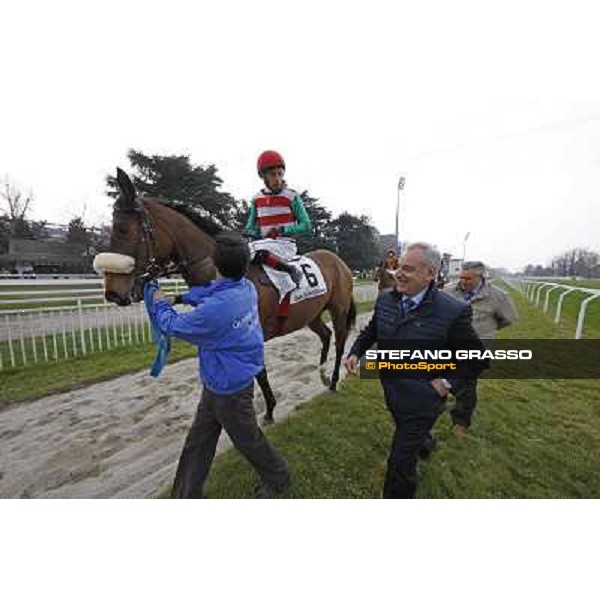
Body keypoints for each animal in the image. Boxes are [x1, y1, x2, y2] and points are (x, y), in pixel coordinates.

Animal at [95, 166, 356, 424]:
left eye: (123, 229)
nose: (113, 292)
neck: (225, 273)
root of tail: (339, 261)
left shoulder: (250, 335)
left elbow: (259, 373)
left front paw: (269, 410)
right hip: (311, 313)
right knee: (326, 335)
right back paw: (322, 373)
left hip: (338, 309)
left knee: (340, 341)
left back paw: (333, 380)